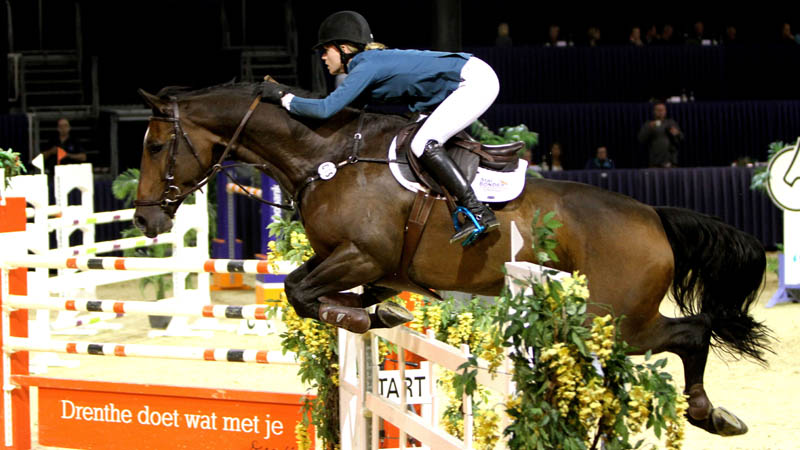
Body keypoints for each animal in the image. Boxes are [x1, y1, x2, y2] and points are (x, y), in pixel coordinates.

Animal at [134, 81, 772, 436]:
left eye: (156, 145)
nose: (145, 220)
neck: (329, 156)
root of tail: (653, 217)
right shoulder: (368, 266)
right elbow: (308, 291)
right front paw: (377, 315)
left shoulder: (362, 257)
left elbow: (300, 292)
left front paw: (363, 317)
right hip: (614, 322)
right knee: (691, 333)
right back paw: (711, 414)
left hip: (614, 323)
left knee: (692, 333)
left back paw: (711, 414)